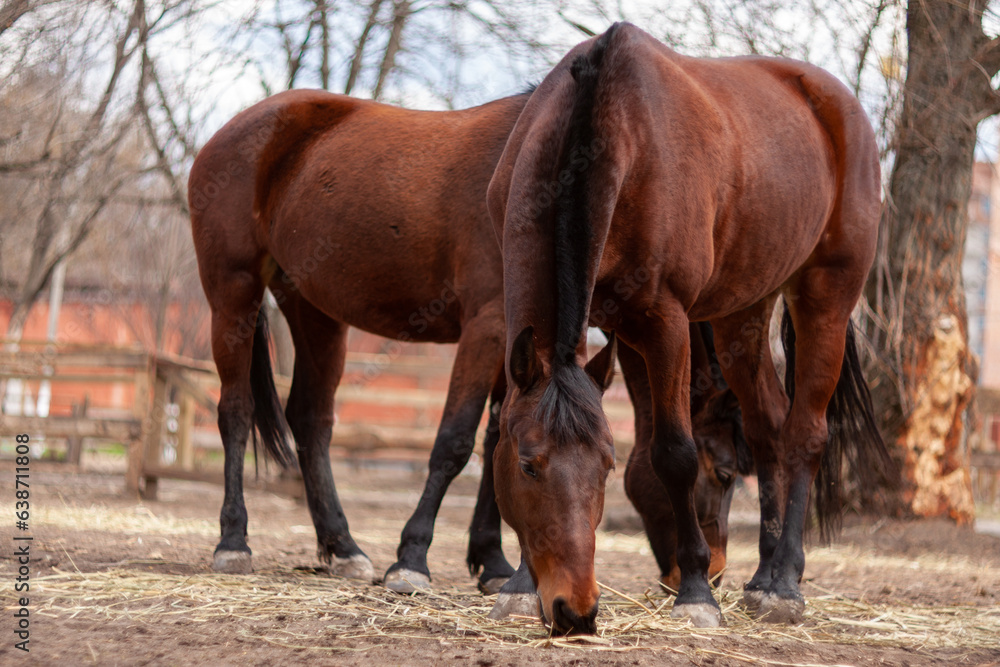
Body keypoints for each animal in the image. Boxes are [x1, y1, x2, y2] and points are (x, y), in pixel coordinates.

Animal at [188, 87, 747, 597]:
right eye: (721, 473)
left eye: (606, 463)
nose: (715, 573)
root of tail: (235, 129)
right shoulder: (487, 328)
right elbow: (453, 442)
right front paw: (412, 559)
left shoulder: (519, 349)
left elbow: (499, 435)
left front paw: (494, 562)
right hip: (233, 293)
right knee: (235, 410)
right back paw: (233, 542)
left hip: (314, 310)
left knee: (311, 420)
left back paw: (344, 547)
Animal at [487, 22, 894, 634]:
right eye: (527, 465)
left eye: (604, 468)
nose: (575, 611)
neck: (604, 120)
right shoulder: (615, 335)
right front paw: (518, 584)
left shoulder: (666, 324)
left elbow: (673, 454)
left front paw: (697, 592)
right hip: (741, 313)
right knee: (768, 427)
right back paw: (762, 574)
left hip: (827, 294)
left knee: (804, 433)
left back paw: (783, 583)